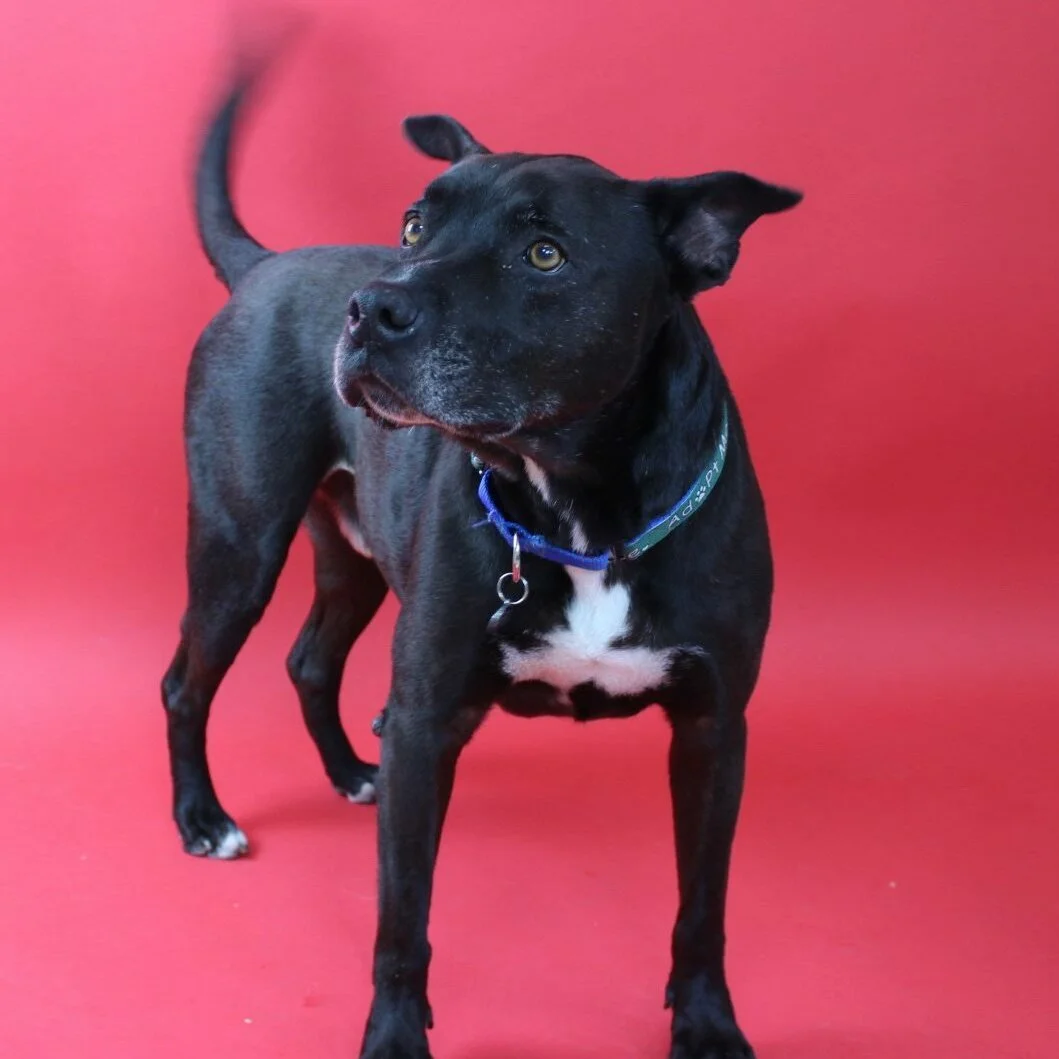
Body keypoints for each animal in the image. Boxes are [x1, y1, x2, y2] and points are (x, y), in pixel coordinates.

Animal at [161, 53, 801, 1059]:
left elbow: (702, 908)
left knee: (309, 659)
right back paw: (204, 818)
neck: (580, 508)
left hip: (351, 558)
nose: (370, 308)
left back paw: (349, 772)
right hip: (237, 546)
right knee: (186, 682)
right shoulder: (427, 722)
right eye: (413, 225)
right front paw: (392, 1039)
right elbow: (402, 916)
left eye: (544, 253)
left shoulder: (713, 729)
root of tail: (268, 265)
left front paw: (706, 1024)